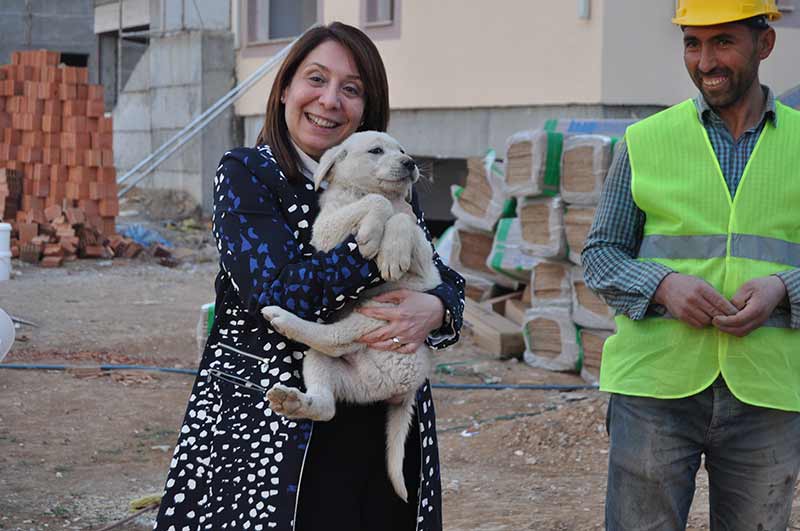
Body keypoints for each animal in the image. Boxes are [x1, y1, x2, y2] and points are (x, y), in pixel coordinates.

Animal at [262, 131, 440, 500]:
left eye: (403, 150)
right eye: (376, 150)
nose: (410, 163)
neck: (359, 191)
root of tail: (401, 390)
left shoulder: (425, 261)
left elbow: (402, 217)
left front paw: (389, 250)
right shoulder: (326, 231)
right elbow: (379, 204)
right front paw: (373, 233)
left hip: (381, 315)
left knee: (335, 340)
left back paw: (285, 322)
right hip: (338, 358)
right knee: (327, 398)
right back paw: (294, 400)